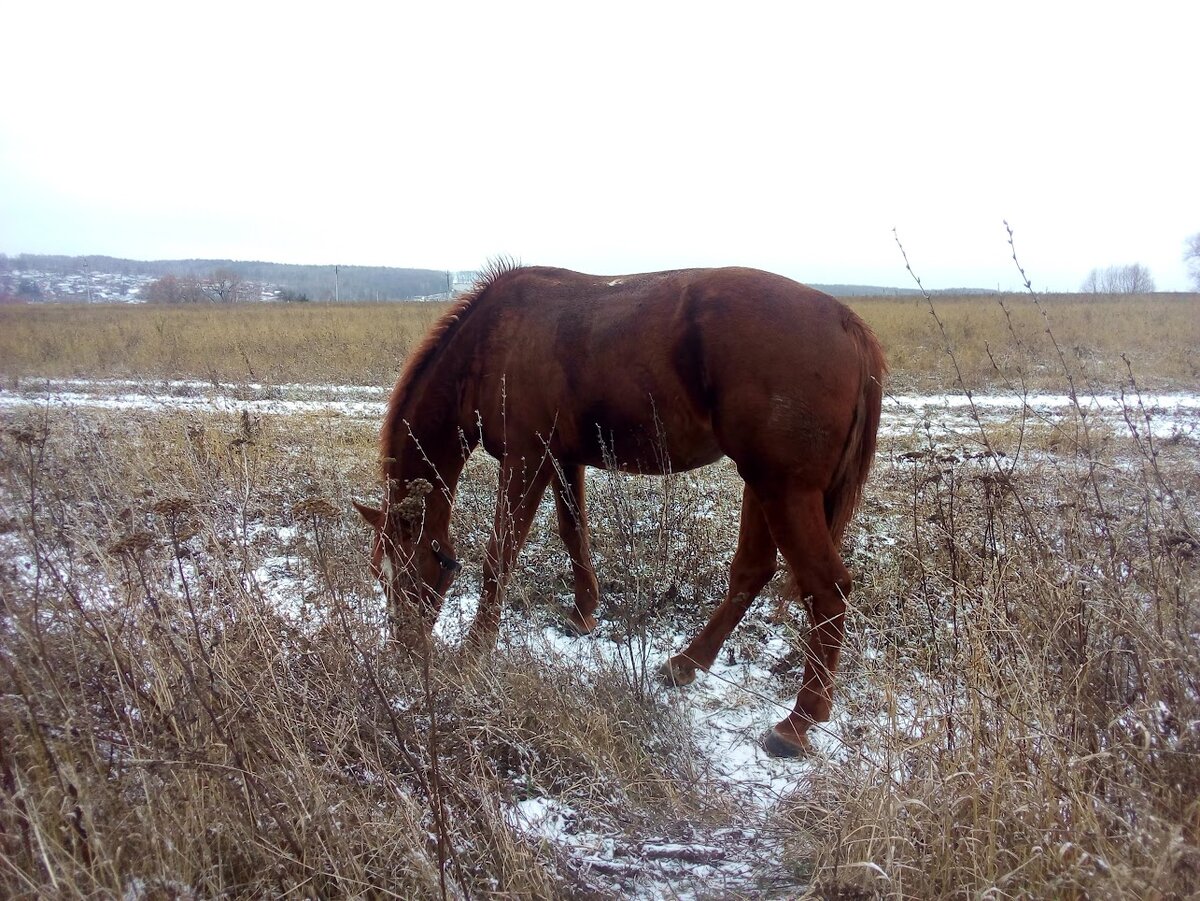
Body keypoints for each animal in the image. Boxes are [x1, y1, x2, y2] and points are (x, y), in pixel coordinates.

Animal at [350, 262, 888, 763]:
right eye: (379, 574)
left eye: (407, 571)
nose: (404, 651)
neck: (493, 337)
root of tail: (848, 324)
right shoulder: (562, 458)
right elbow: (573, 530)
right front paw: (583, 613)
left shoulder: (526, 458)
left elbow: (500, 553)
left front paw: (475, 650)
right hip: (762, 483)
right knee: (753, 571)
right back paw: (686, 664)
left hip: (784, 488)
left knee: (828, 588)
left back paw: (797, 723)